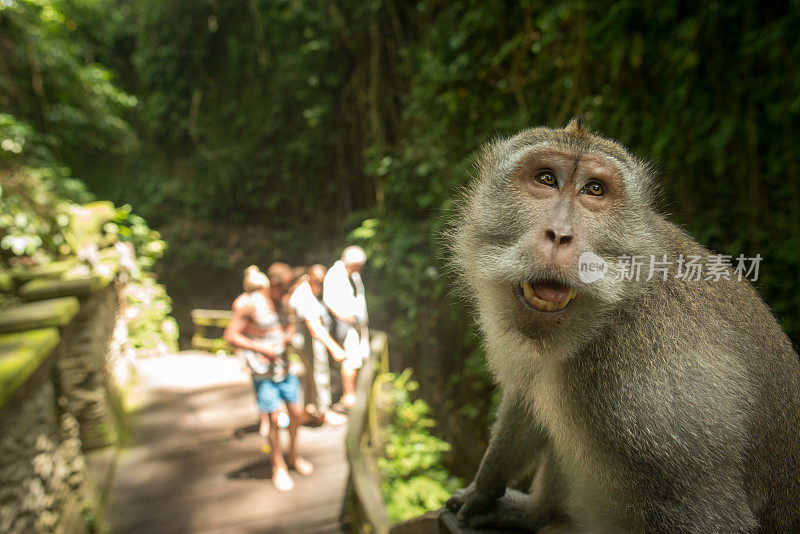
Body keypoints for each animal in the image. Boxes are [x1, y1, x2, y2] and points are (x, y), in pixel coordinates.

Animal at [446, 119, 800, 532]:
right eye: (546, 179)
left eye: (594, 190)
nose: (560, 234)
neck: (603, 315)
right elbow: (524, 401)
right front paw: (483, 489)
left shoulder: (659, 393)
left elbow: (708, 512)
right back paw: (535, 513)